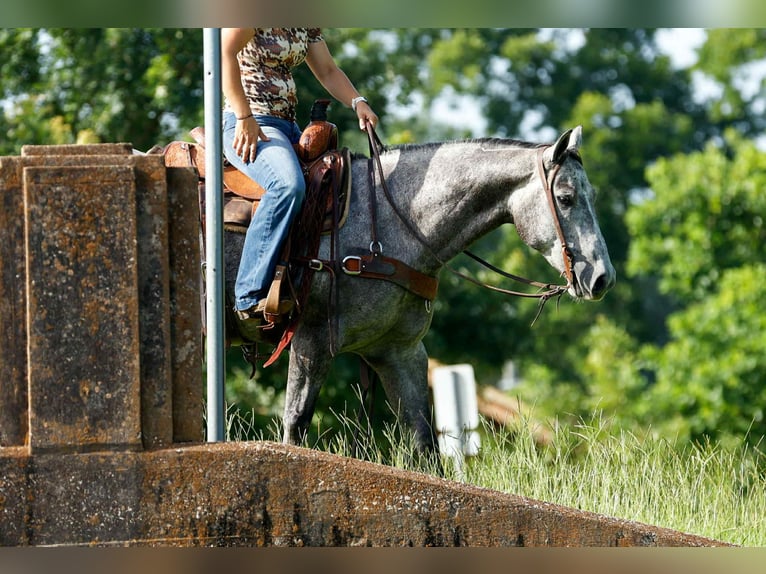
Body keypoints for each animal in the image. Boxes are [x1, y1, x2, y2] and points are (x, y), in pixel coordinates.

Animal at [223, 125, 615, 455]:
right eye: (565, 197)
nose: (603, 278)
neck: (387, 225)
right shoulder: (312, 339)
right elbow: (295, 424)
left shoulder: (400, 352)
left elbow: (424, 442)